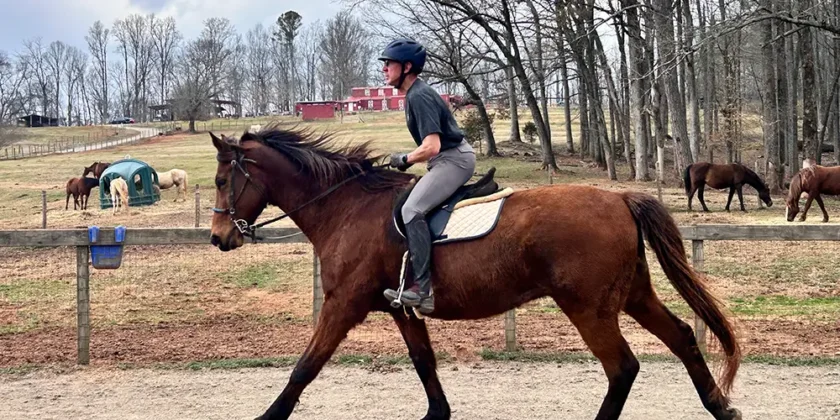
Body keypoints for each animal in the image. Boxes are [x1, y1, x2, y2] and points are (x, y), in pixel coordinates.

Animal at [207, 127, 742, 420]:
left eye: (221, 179)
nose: (218, 238)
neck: (347, 207)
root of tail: (621, 198)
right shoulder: (401, 309)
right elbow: (424, 363)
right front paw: (437, 413)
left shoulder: (344, 305)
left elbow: (305, 367)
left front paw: (267, 414)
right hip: (632, 295)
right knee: (682, 337)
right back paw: (721, 406)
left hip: (589, 308)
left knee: (623, 367)